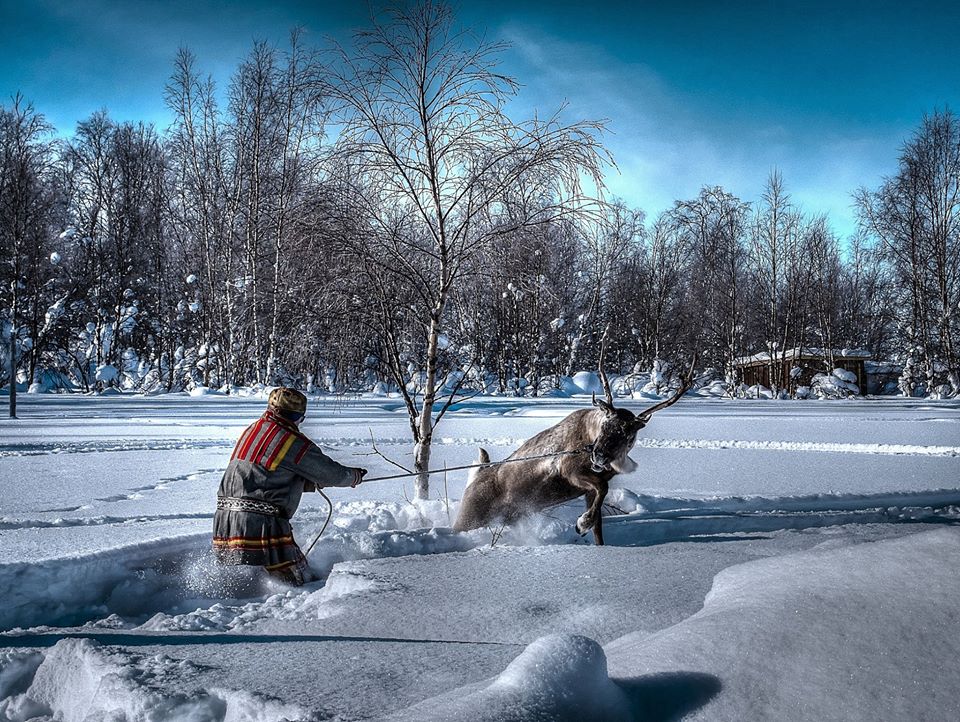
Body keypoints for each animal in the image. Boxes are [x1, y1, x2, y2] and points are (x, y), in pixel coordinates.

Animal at [454, 355, 695, 545]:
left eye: (628, 433)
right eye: (606, 425)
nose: (598, 455)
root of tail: (476, 474)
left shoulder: (590, 488)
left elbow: (599, 521)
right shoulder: (571, 473)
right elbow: (603, 491)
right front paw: (581, 524)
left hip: (509, 515)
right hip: (470, 516)